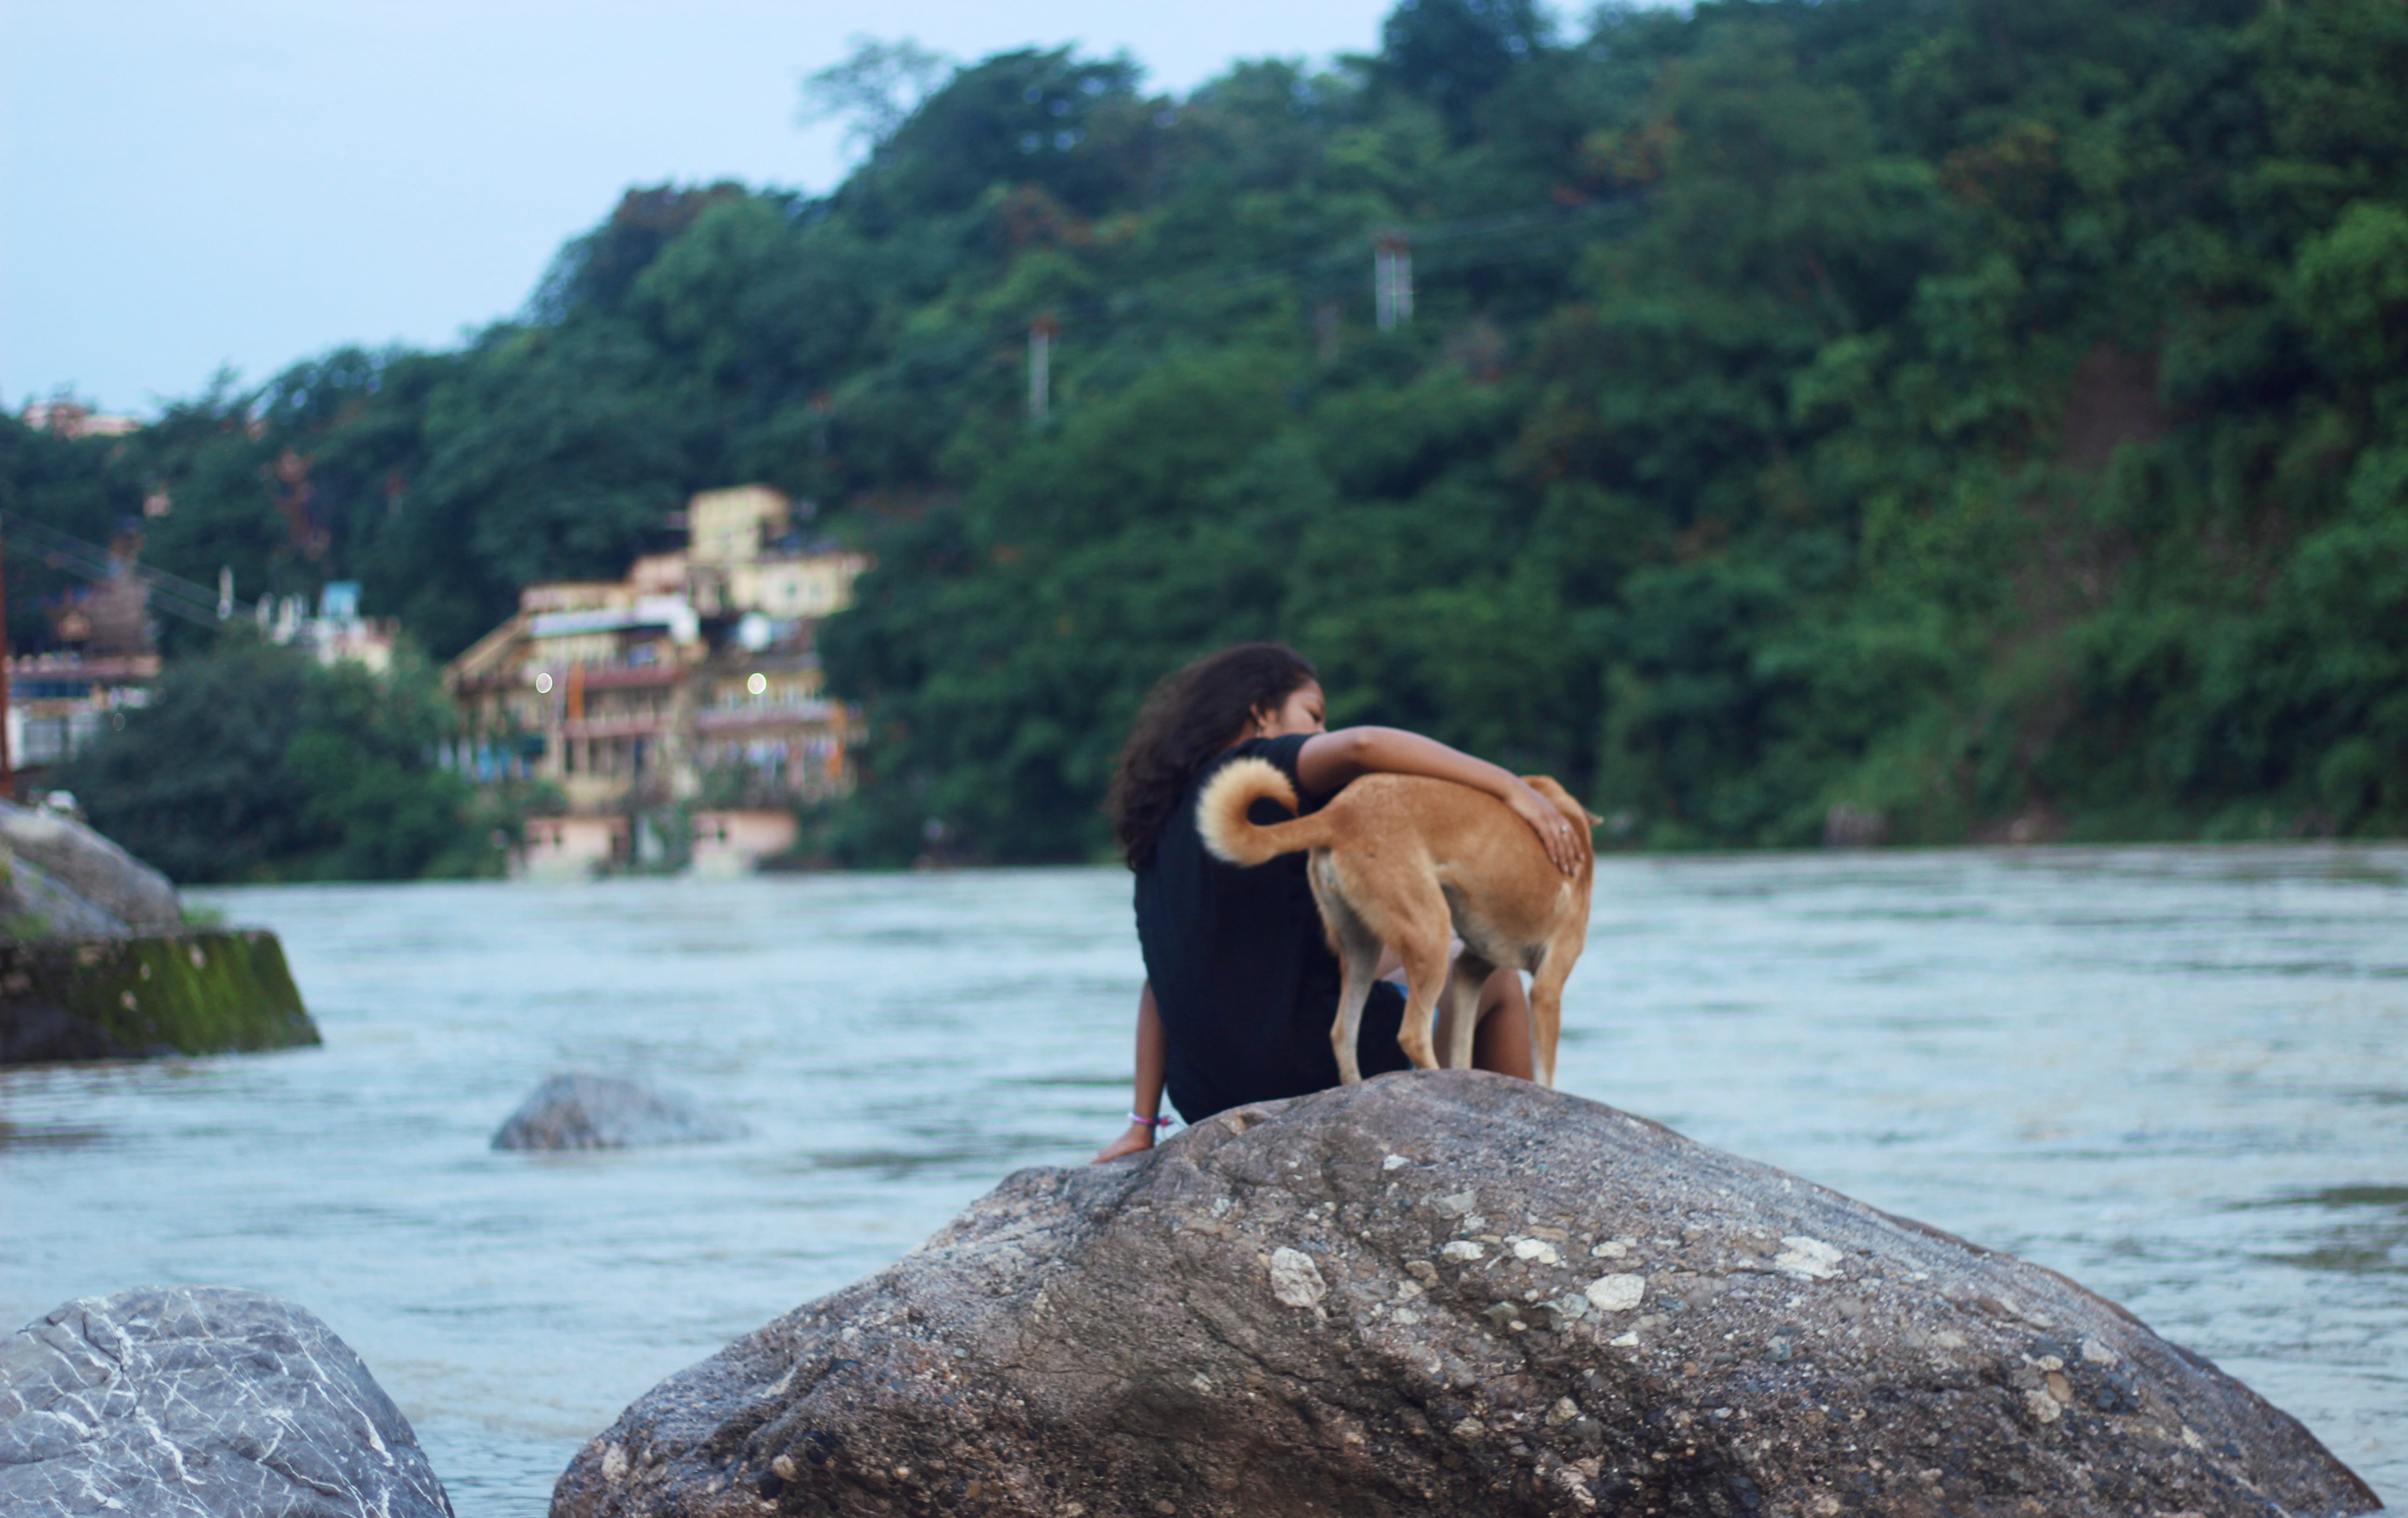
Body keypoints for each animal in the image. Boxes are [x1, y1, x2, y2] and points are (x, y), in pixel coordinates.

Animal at [1199, 766, 1599, 1089]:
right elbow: (1545, 1073)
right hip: (1432, 933)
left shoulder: (1470, 969)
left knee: (1342, 1032)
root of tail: (1337, 813)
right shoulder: (1547, 988)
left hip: (1362, 949)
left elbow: (1463, 1047)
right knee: (1412, 1035)